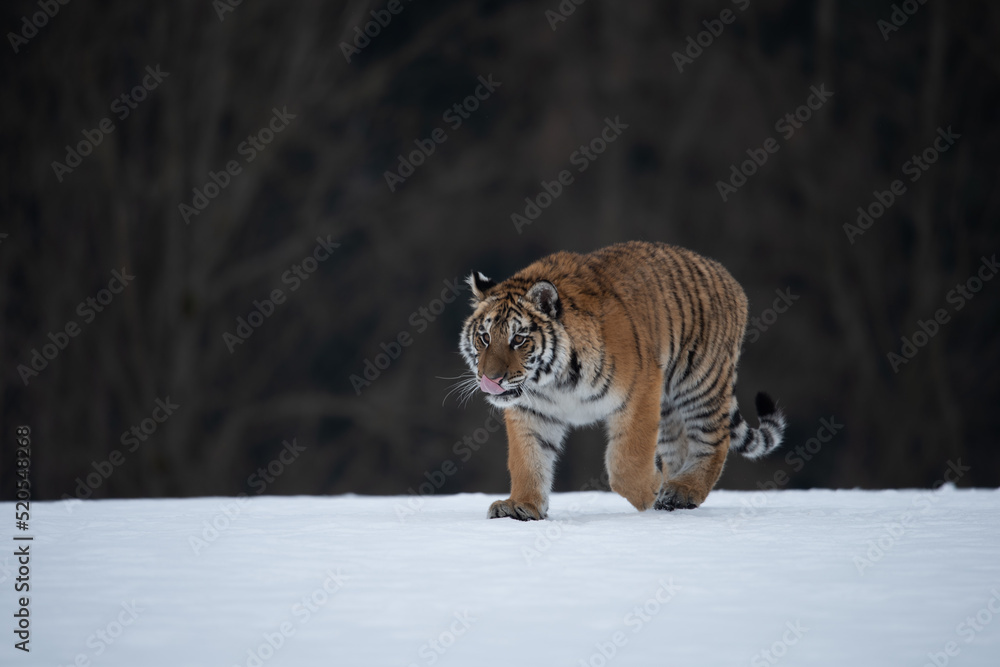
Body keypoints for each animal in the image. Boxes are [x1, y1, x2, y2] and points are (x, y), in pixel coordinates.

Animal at [458, 240, 786, 520]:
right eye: (484, 337)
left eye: (518, 339)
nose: (491, 380)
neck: (553, 381)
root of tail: (723, 273)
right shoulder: (531, 410)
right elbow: (527, 459)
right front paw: (521, 506)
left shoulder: (639, 391)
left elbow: (626, 460)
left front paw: (651, 491)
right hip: (669, 407)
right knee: (680, 448)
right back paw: (674, 488)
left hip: (698, 382)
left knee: (714, 439)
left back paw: (681, 490)